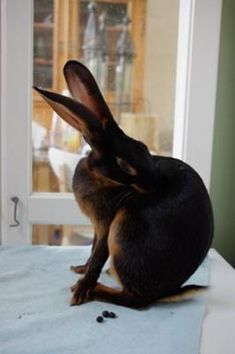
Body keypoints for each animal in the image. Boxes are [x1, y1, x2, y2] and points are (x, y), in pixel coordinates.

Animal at [34, 60, 213, 306]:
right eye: (125, 164)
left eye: (144, 148)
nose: (157, 184)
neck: (99, 177)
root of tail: (161, 294)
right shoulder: (98, 228)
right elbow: (92, 251)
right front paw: (80, 268)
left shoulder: (106, 225)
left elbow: (98, 256)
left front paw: (82, 288)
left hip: (123, 232)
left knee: (133, 301)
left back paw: (96, 290)